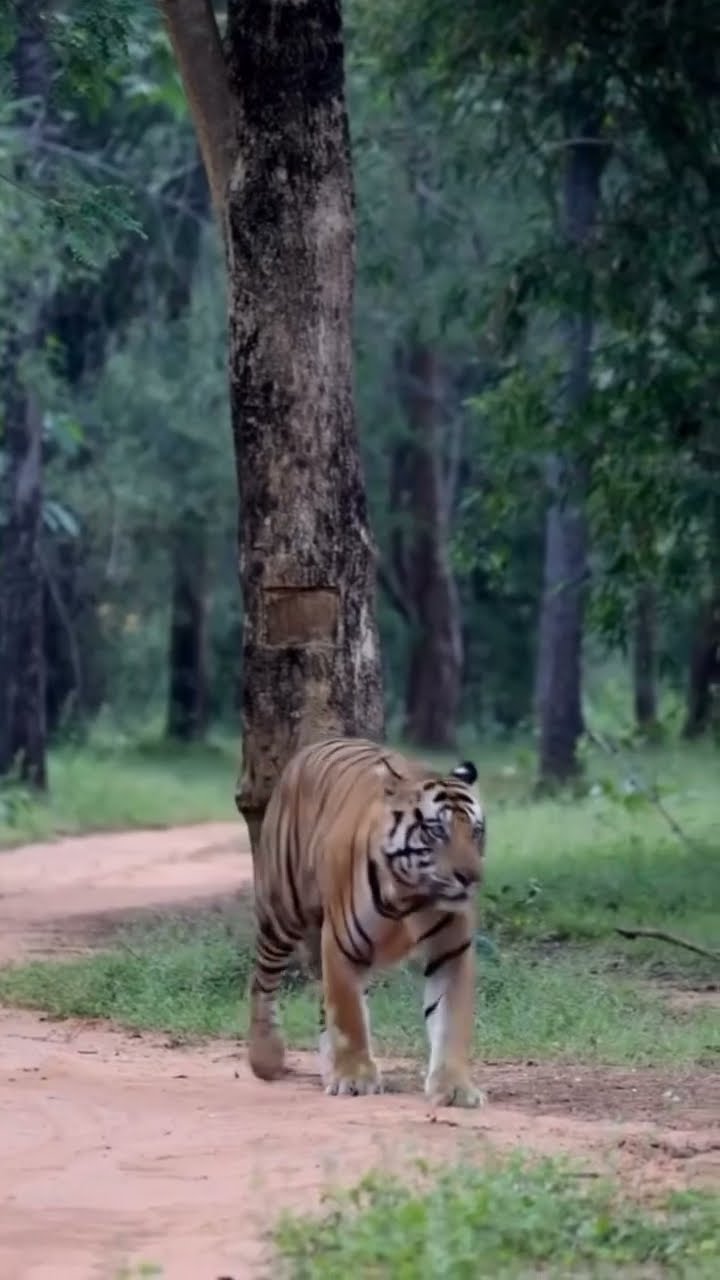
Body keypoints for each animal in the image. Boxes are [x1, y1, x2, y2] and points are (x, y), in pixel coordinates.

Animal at [247, 735, 487, 1108]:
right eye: (436, 831)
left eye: (476, 832)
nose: (471, 877)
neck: (410, 896)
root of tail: (314, 747)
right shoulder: (342, 946)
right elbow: (349, 1018)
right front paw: (355, 1078)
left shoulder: (451, 953)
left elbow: (451, 1021)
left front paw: (455, 1087)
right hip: (282, 909)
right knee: (263, 977)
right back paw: (265, 1056)